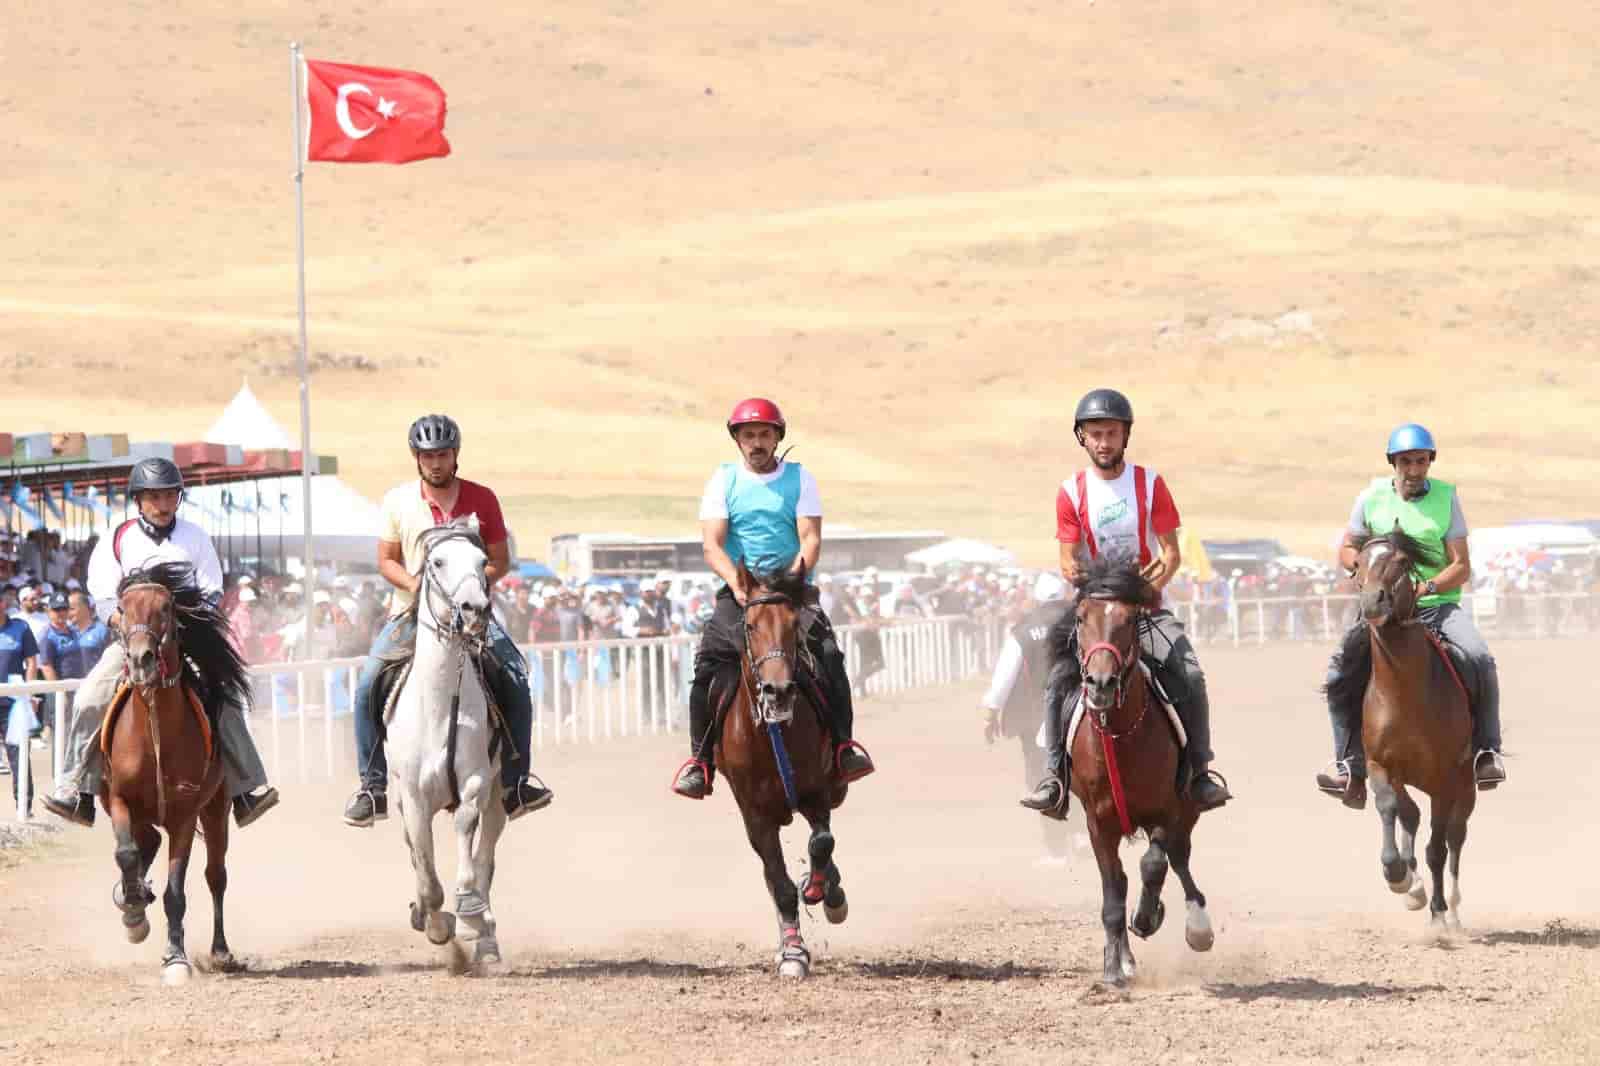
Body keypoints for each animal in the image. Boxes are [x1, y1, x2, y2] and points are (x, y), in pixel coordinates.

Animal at [101, 560, 249, 985]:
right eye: (122, 608)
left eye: (166, 608)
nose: (141, 659)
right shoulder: (118, 799)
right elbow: (126, 853)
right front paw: (134, 911)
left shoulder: (185, 814)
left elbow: (175, 893)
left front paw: (176, 958)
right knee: (144, 843)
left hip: (215, 811)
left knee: (216, 875)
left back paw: (220, 951)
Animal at [380, 515, 505, 960]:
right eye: (436, 562)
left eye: (482, 561)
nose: (474, 610)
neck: (439, 707)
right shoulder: (414, 796)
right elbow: (426, 869)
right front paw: (435, 924)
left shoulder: (477, 781)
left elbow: (468, 830)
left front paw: (468, 913)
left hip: (501, 795)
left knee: (487, 855)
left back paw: (485, 933)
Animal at [720, 563, 851, 979]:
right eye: (750, 626)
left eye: (794, 625)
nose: (778, 690)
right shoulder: (754, 813)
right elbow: (778, 883)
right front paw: (793, 953)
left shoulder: (816, 792)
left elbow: (822, 842)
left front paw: (824, 891)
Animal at [1043, 557, 1216, 979]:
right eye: (1081, 618)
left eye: (1130, 618)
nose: (1100, 682)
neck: (1119, 734)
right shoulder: (1097, 821)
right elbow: (1113, 889)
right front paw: (1115, 965)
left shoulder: (1167, 809)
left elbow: (1154, 864)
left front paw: (1147, 918)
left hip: (1189, 807)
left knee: (1179, 858)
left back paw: (1196, 925)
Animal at [1337, 528, 1472, 928]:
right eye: (1358, 562)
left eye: (1401, 561)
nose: (1373, 602)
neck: (1404, 693)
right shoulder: (1381, 765)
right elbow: (1389, 808)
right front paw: (1398, 876)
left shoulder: (1445, 780)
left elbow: (1437, 848)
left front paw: (1438, 916)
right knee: (1410, 816)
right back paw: (1414, 886)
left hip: (1467, 785)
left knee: (1456, 837)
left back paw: (1452, 909)